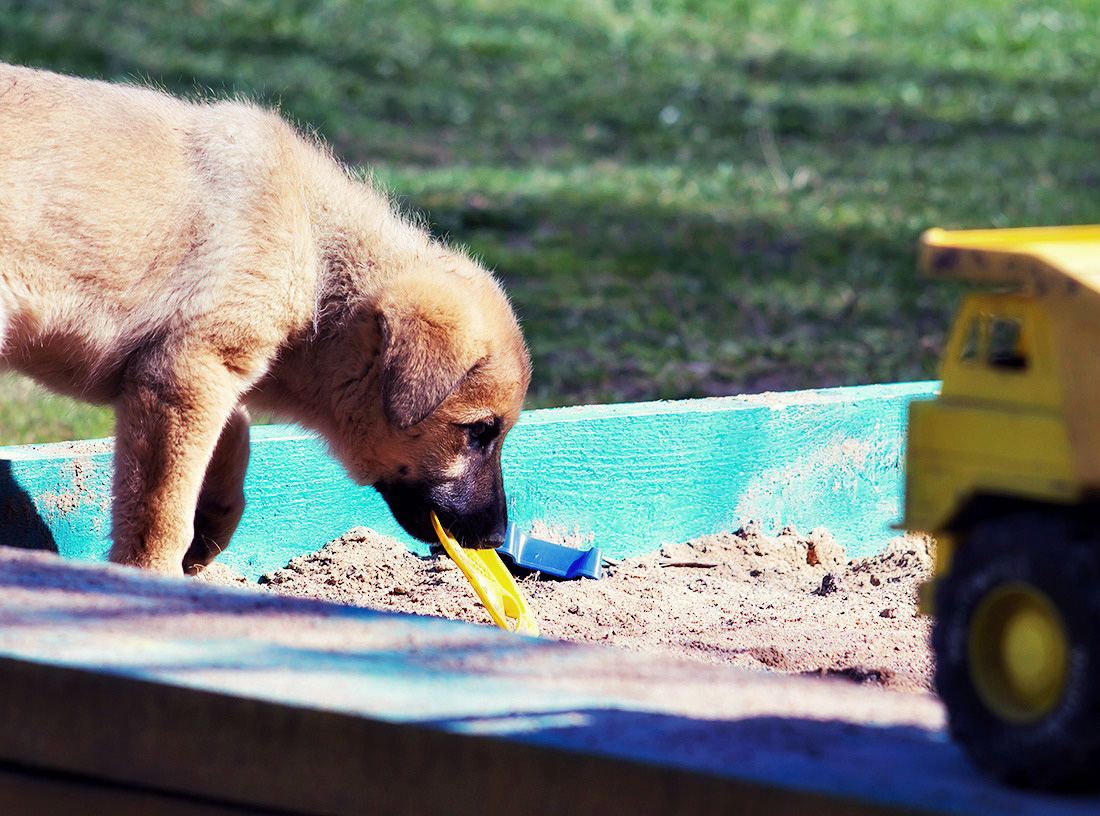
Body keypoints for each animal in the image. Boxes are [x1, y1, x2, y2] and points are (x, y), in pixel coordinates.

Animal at [0, 63, 532, 576]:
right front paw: (151, 575)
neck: (313, 244)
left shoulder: (186, 373)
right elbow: (161, 510)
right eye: (479, 432)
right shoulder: (185, 373)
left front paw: (212, 525)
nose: (495, 539)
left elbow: (234, 430)